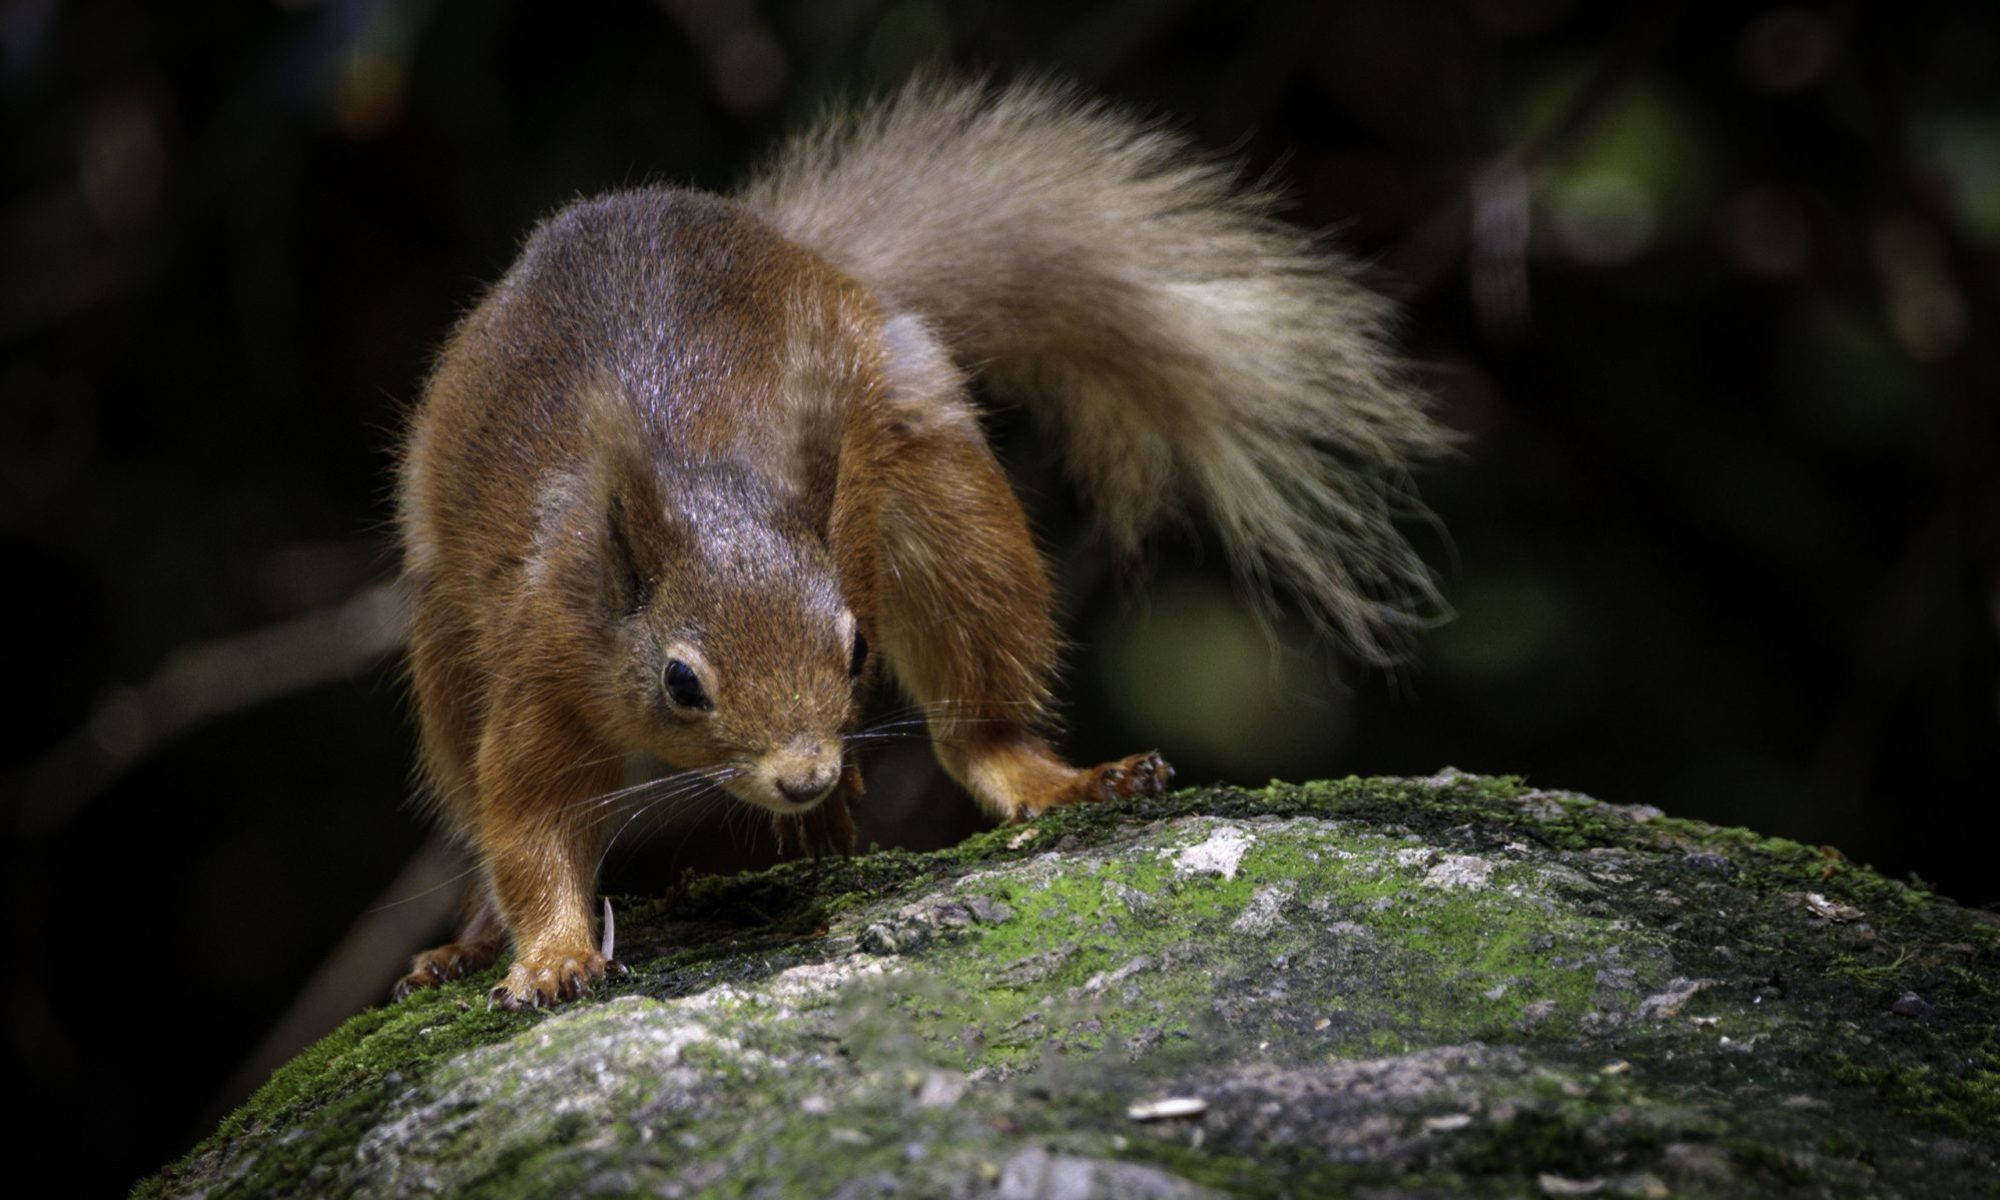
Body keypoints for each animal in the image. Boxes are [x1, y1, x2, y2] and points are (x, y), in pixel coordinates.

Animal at [394, 79, 1456, 1008]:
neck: (706, 482)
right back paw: (472, 942)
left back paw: (1049, 781)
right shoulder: (545, 652)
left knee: (977, 720)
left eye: (857, 648)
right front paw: (553, 958)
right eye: (680, 682)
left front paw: (828, 803)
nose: (804, 774)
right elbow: (530, 820)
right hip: (447, 638)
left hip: (948, 506)